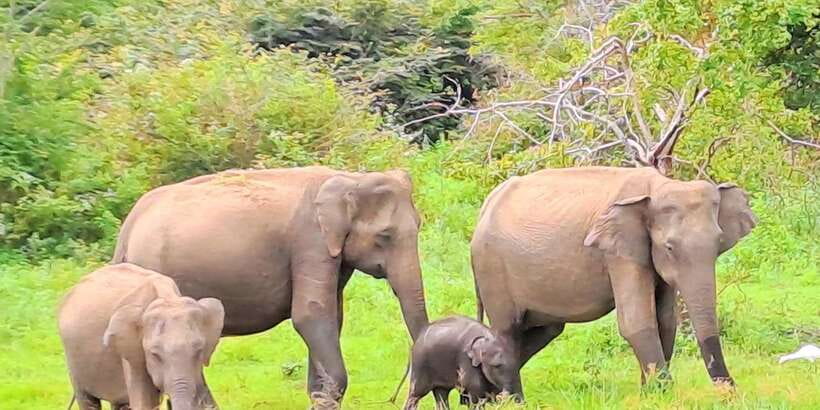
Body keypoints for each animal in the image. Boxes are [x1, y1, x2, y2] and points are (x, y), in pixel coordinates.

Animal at [58, 263, 225, 410]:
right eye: (155, 354)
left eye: (199, 351)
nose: (169, 401)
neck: (167, 298)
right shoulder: (132, 353)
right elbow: (143, 402)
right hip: (73, 360)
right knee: (86, 399)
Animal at [112, 166, 429, 406]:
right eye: (384, 236)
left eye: (419, 225)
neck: (349, 177)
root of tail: (127, 227)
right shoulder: (310, 240)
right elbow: (311, 314)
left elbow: (331, 317)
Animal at [471, 166, 756, 389]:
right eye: (669, 248)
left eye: (719, 242)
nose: (730, 390)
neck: (658, 185)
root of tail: (485, 206)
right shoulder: (618, 253)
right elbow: (636, 321)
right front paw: (665, 394)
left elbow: (665, 321)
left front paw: (648, 395)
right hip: (491, 268)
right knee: (507, 332)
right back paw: (509, 400)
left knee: (544, 330)